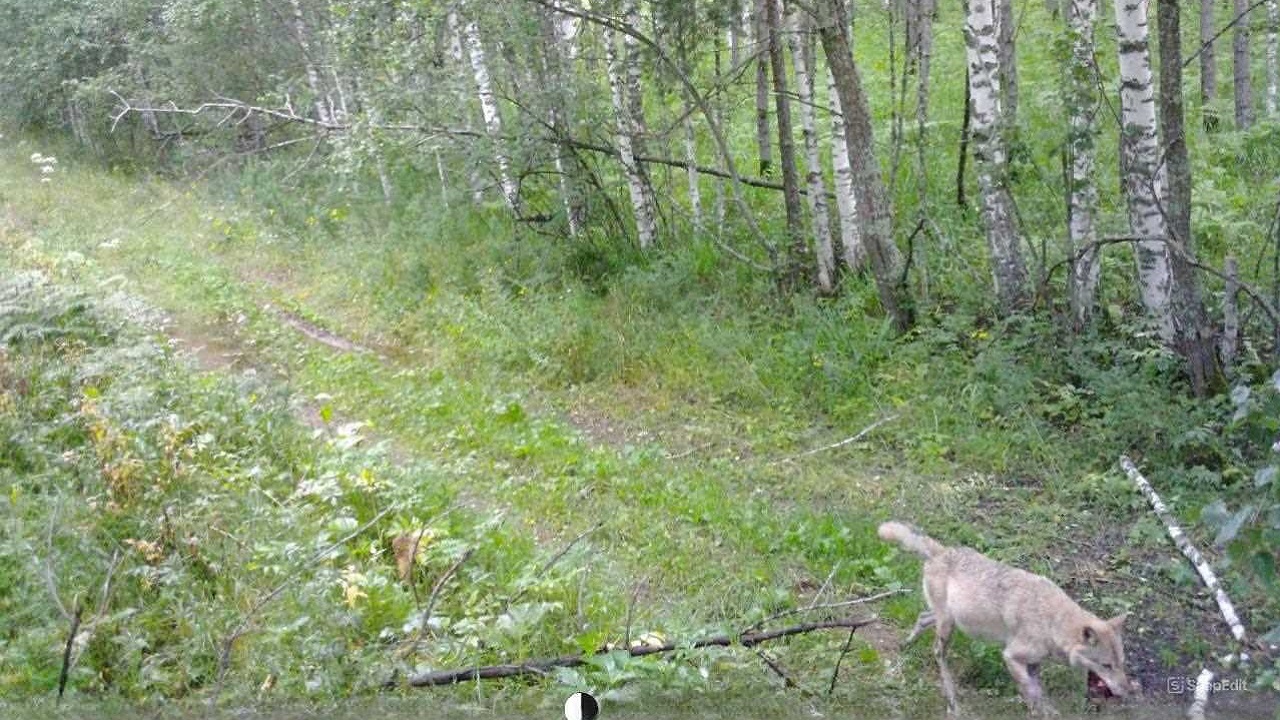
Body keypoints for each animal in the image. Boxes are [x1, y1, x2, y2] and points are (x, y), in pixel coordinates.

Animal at [880, 517, 1131, 712]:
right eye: (1107, 666)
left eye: (1121, 664)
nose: (1126, 691)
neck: (1052, 623)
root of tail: (942, 551)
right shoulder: (1011, 656)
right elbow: (1032, 694)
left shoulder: (1034, 664)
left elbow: (1040, 694)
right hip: (947, 627)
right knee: (937, 654)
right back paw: (952, 702)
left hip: (950, 619)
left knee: (922, 618)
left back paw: (905, 645)